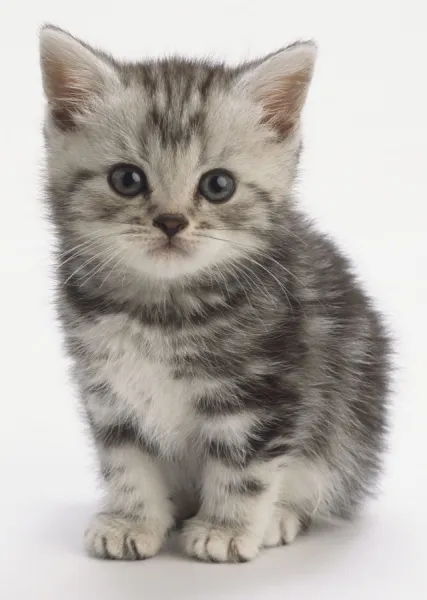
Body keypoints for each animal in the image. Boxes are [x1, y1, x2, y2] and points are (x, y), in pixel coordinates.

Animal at [40, 24, 392, 564]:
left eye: (218, 185)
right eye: (127, 179)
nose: (170, 222)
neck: (162, 310)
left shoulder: (263, 391)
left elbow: (245, 467)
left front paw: (226, 530)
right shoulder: (108, 390)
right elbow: (126, 460)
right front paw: (131, 520)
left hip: (352, 425)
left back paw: (278, 518)